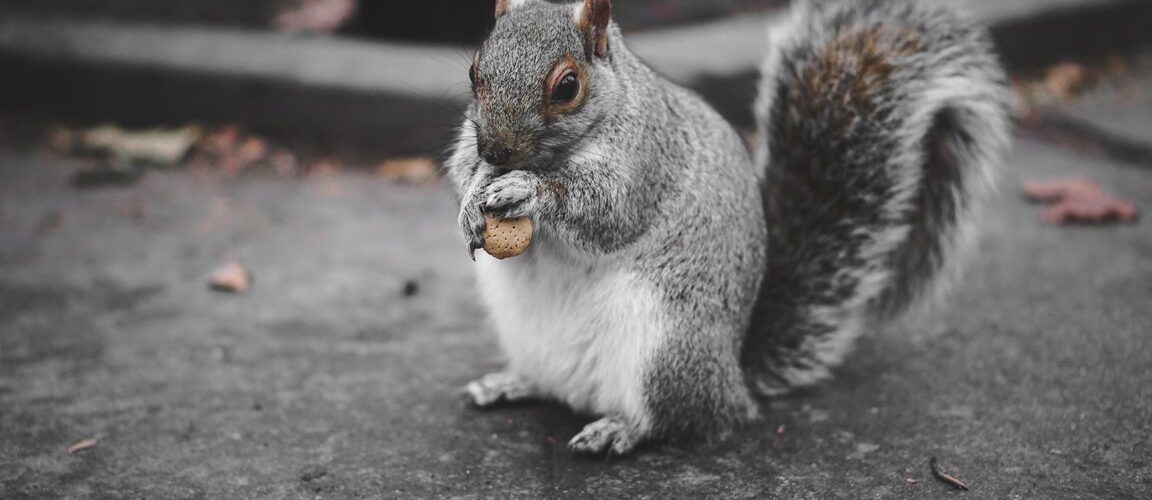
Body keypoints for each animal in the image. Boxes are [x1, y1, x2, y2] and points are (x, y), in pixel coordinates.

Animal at [444, 0, 1013, 456]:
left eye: (567, 87)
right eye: (473, 72)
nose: (496, 150)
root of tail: (733, 377)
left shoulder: (647, 159)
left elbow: (608, 212)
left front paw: (529, 191)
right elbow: (460, 169)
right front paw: (472, 196)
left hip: (665, 346)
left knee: (681, 419)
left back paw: (620, 429)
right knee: (552, 384)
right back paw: (509, 384)